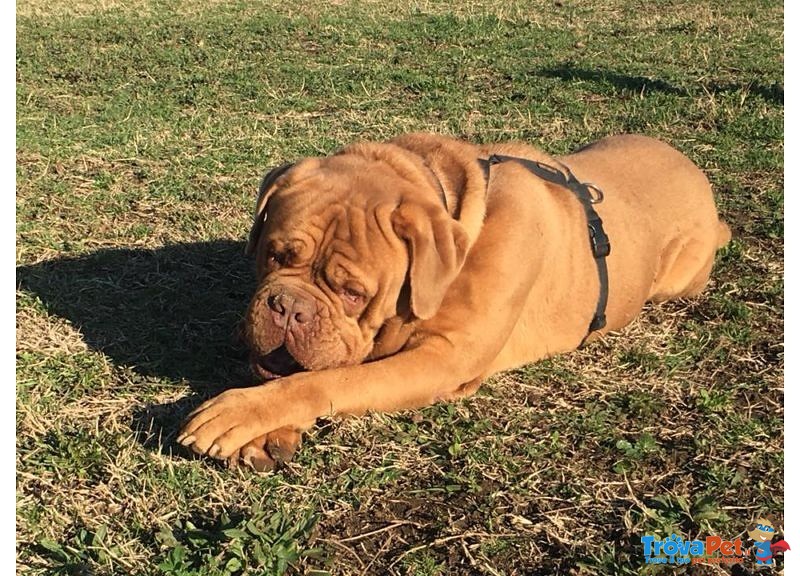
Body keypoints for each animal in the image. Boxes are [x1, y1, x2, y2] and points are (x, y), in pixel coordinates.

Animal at [178, 133, 728, 470]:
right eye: (274, 255)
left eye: (354, 294)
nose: (289, 308)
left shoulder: (443, 359)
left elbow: (332, 379)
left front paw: (241, 412)